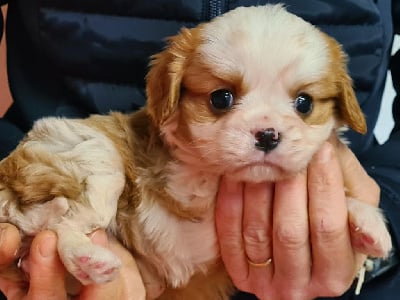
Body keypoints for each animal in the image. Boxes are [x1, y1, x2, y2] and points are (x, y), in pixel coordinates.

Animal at [0, 4, 390, 300]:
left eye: (304, 103)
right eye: (221, 98)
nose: (267, 135)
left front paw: (368, 224)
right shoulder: (180, 183)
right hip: (92, 156)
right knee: (64, 224)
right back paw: (88, 258)